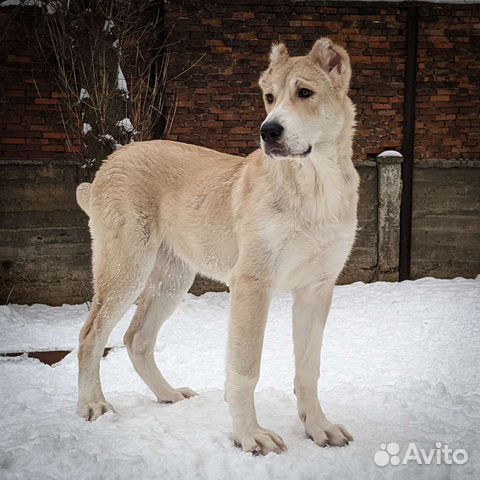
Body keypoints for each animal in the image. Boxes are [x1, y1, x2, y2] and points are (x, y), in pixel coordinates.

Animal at [77, 37, 358, 454]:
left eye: (305, 93)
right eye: (269, 97)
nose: (268, 131)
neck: (313, 186)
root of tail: (112, 160)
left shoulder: (316, 289)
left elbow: (309, 368)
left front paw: (318, 427)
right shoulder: (252, 284)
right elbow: (245, 369)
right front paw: (249, 435)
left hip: (172, 279)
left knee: (136, 339)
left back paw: (168, 396)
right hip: (127, 268)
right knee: (91, 336)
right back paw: (93, 405)